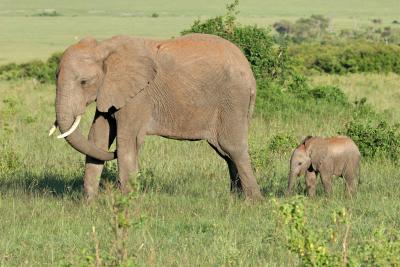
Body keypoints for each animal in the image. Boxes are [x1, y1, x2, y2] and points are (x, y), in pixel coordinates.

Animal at [49, 33, 262, 201]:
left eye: (84, 82)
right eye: (55, 77)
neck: (104, 48)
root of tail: (249, 71)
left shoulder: (139, 95)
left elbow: (127, 142)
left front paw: (128, 203)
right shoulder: (108, 90)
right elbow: (97, 140)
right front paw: (89, 205)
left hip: (233, 99)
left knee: (232, 147)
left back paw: (253, 202)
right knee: (225, 152)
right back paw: (235, 198)